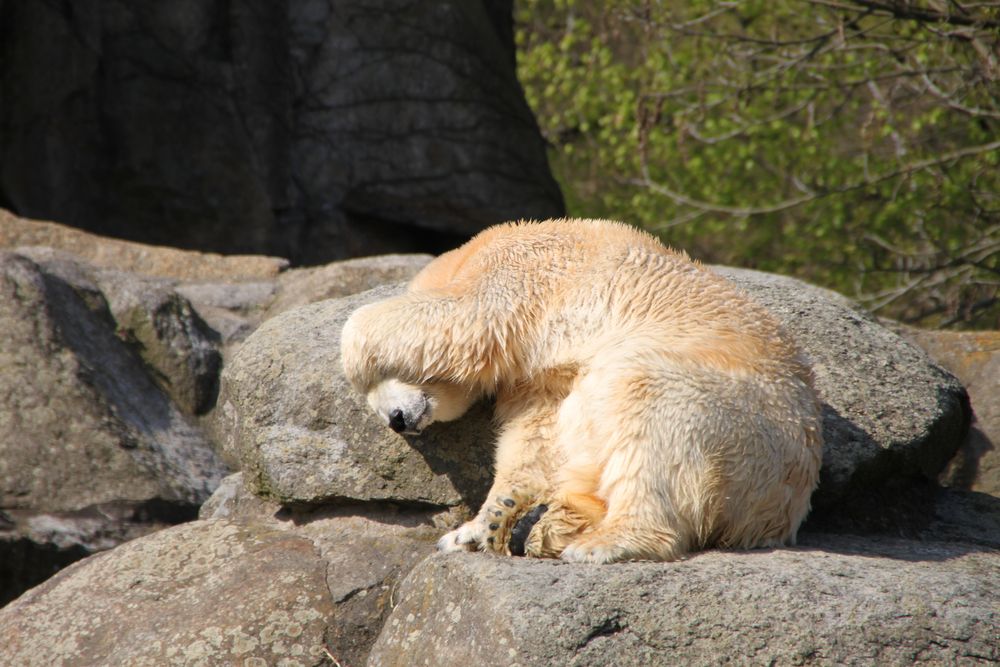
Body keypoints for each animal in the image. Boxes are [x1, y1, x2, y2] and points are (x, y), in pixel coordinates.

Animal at [340, 220, 824, 564]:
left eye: (383, 377)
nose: (396, 421)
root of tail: (780, 509)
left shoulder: (518, 273)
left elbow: (462, 316)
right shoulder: (533, 372)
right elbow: (539, 433)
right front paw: (476, 527)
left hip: (743, 419)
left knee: (651, 412)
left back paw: (605, 541)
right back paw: (549, 524)